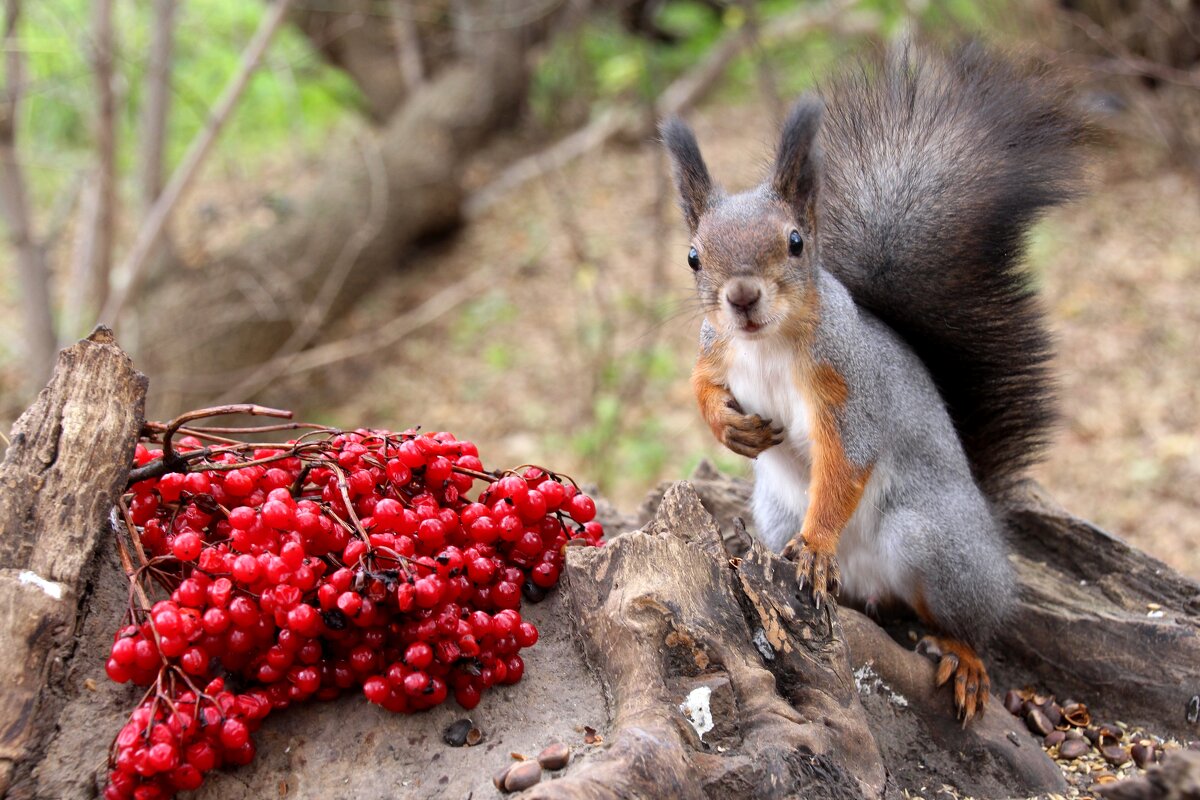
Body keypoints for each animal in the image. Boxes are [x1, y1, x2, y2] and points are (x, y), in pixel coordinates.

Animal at [662, 42, 1094, 719]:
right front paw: (730, 429)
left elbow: (848, 461)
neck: (767, 345)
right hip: (775, 518)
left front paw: (817, 545)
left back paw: (961, 655)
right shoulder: (716, 352)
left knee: (969, 620)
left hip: (934, 542)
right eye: (693, 256)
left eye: (795, 242)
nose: (742, 298)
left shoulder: (851, 386)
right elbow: (701, 385)